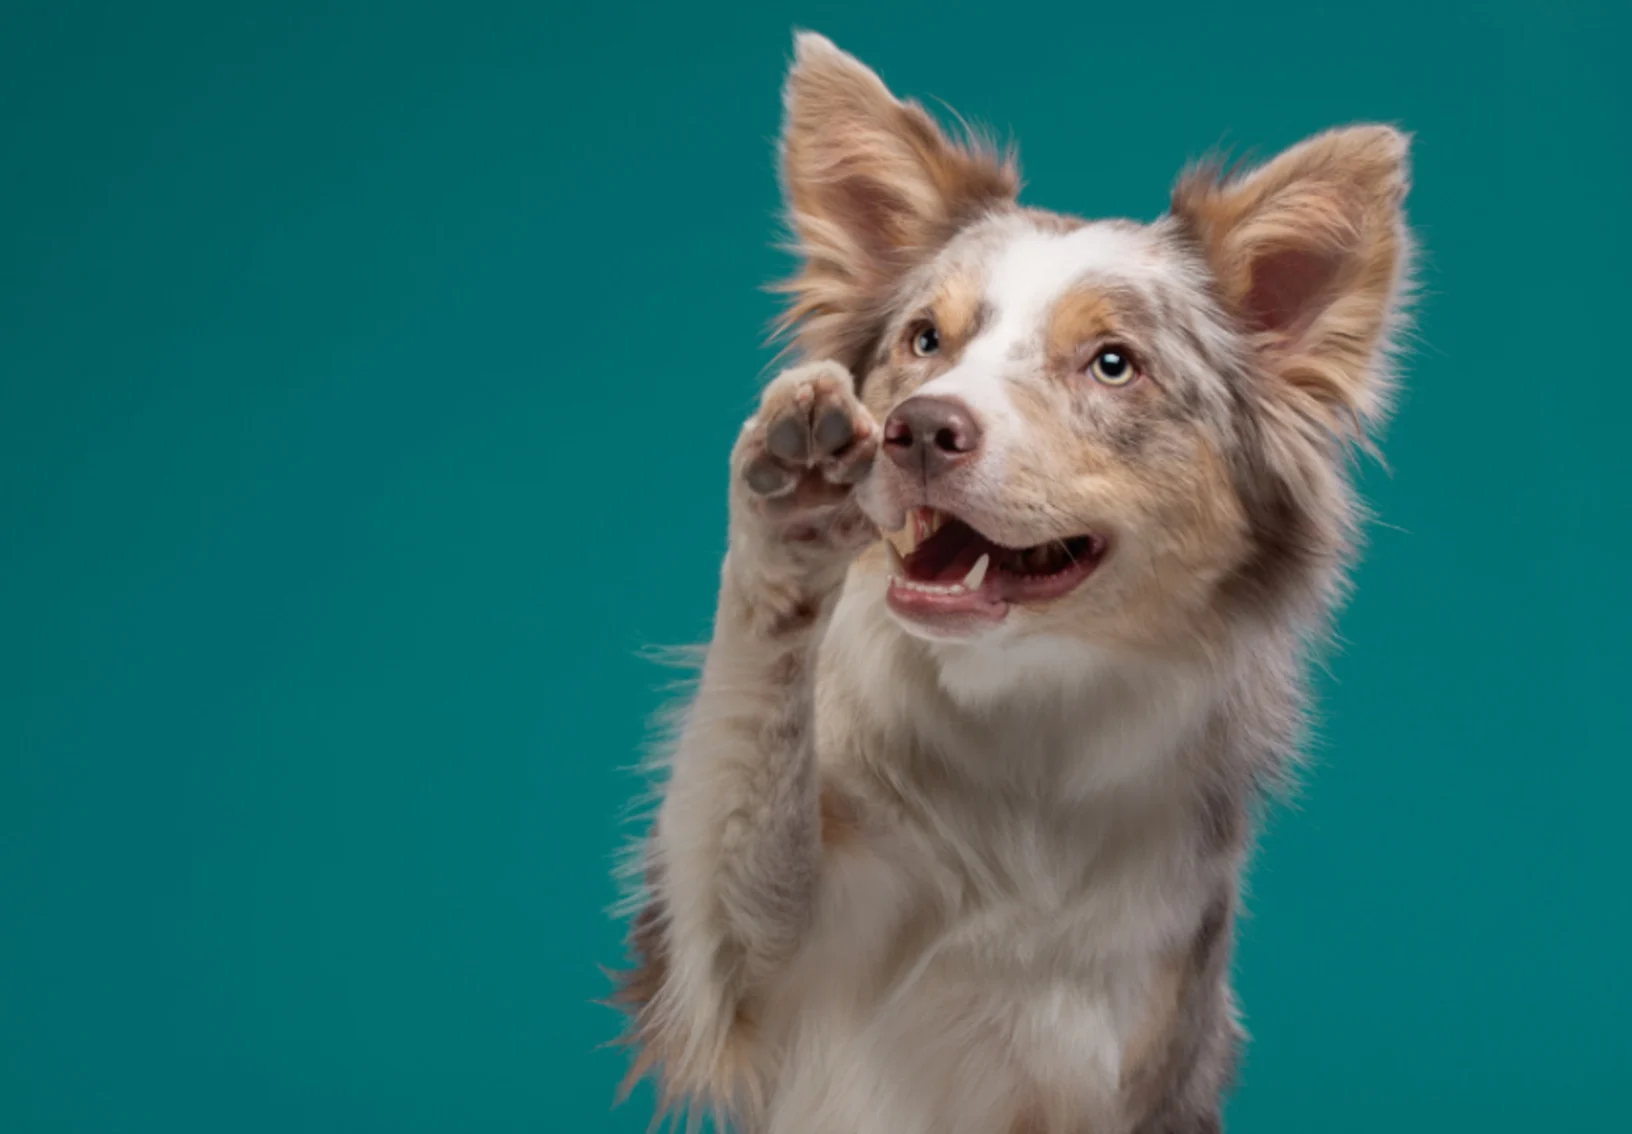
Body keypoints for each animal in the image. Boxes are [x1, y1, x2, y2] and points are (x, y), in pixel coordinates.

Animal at [613, 31, 1416, 1129]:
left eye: (1113, 364)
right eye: (925, 341)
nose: (918, 431)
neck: (1019, 717)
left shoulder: (1116, 1055)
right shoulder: (747, 971)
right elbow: (746, 744)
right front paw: (796, 505)